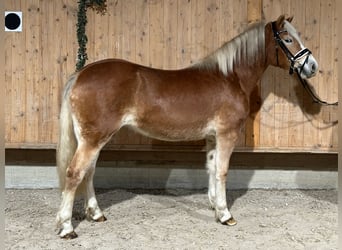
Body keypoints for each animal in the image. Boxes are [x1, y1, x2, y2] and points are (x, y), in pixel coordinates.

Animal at [55, 15, 318, 238]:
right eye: (288, 39)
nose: (312, 66)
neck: (230, 77)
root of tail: (81, 74)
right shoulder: (227, 134)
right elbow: (222, 171)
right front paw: (225, 215)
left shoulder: (212, 137)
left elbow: (211, 168)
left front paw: (214, 205)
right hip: (93, 138)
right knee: (75, 173)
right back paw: (67, 227)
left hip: (91, 138)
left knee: (88, 173)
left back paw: (96, 214)